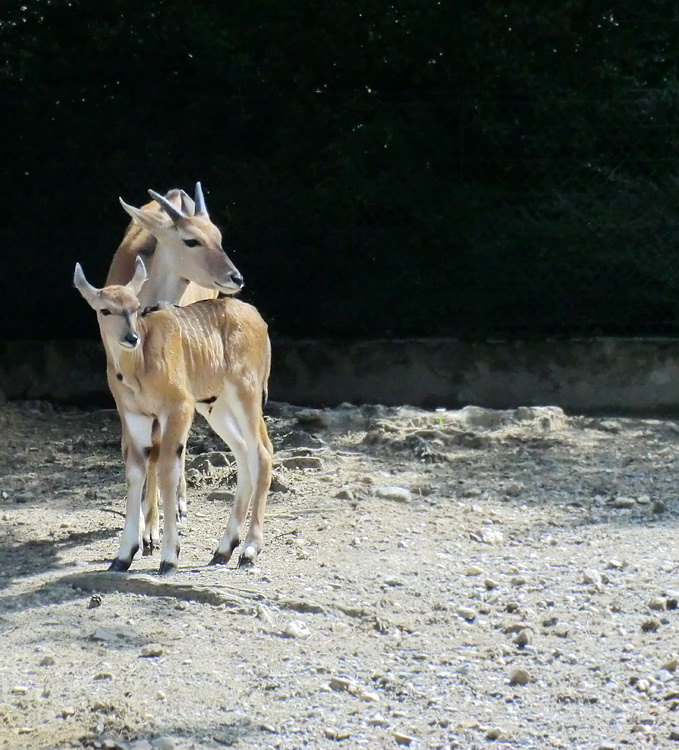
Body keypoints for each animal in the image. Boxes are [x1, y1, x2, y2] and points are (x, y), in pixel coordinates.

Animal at [73, 258, 274, 576]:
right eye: (105, 310)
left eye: (135, 307)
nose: (131, 337)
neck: (138, 367)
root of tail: (258, 320)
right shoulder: (134, 417)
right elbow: (135, 472)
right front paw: (123, 556)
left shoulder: (178, 408)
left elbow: (167, 469)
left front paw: (169, 556)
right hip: (216, 406)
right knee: (244, 452)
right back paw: (224, 549)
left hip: (246, 395)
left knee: (262, 453)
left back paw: (250, 550)